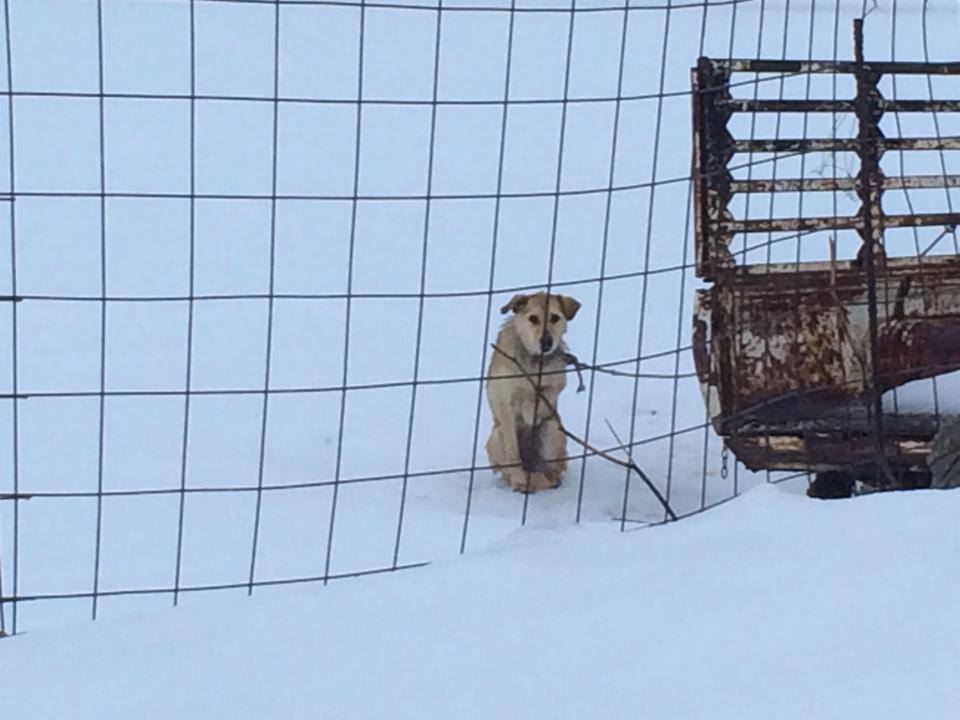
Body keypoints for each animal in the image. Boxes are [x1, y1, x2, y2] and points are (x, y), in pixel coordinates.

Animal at [484, 292, 580, 490]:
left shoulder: (556, 383)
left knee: (553, 471)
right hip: (496, 436)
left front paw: (531, 410)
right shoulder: (505, 399)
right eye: (533, 318)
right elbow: (513, 451)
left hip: (552, 430)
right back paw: (520, 481)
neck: (535, 361)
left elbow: (544, 394)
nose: (546, 343)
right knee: (511, 468)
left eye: (555, 318)